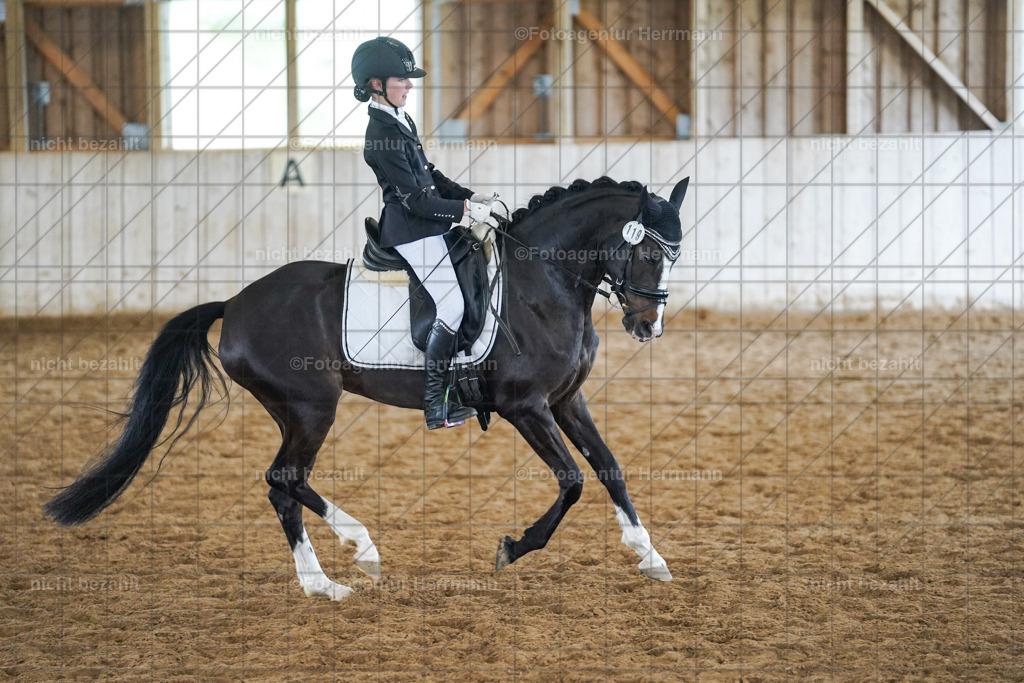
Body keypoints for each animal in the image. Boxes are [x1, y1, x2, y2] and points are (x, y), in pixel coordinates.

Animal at [44, 175, 690, 601]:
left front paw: (651, 556)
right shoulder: (526, 407)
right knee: (284, 478)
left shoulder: (565, 400)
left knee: (283, 488)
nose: (648, 326)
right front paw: (513, 547)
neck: (544, 281)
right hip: (311, 408)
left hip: (295, 412)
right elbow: (573, 479)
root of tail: (235, 303)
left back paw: (323, 583)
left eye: (674, 254)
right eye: (644, 248)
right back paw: (357, 553)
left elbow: (609, 468)